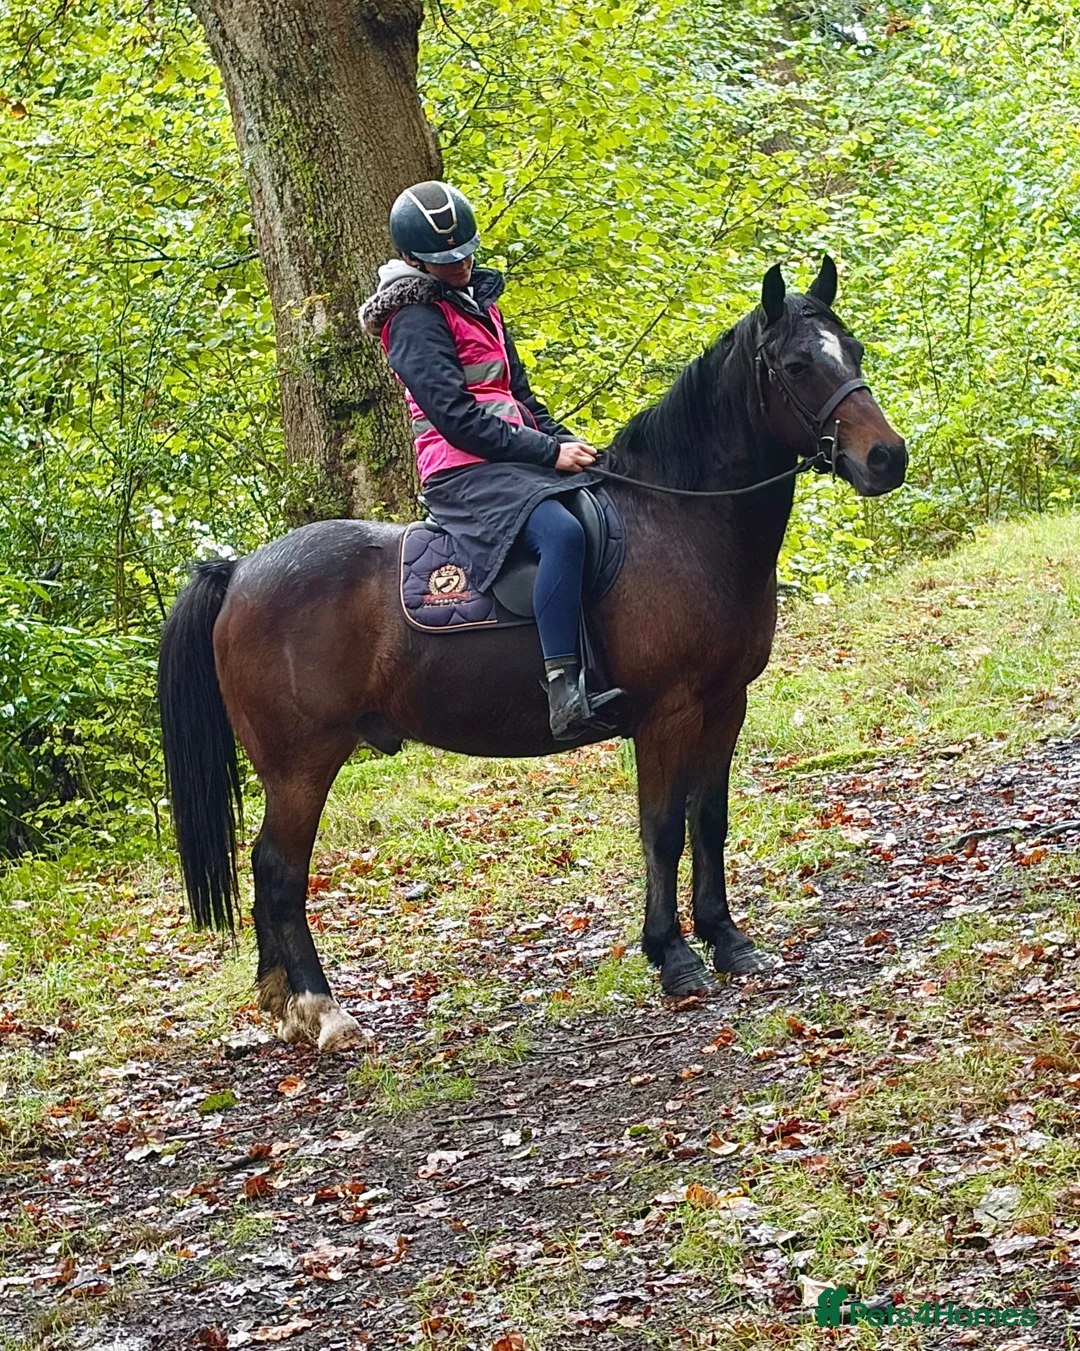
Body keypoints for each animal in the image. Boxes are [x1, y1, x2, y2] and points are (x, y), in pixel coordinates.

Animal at [158, 256, 907, 1052]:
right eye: (796, 365)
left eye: (852, 351)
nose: (887, 458)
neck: (677, 520)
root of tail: (237, 570)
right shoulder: (667, 715)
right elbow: (663, 829)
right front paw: (674, 957)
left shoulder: (724, 704)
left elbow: (710, 820)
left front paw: (728, 941)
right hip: (301, 765)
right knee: (278, 871)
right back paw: (321, 1007)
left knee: (269, 873)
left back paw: (284, 1005)